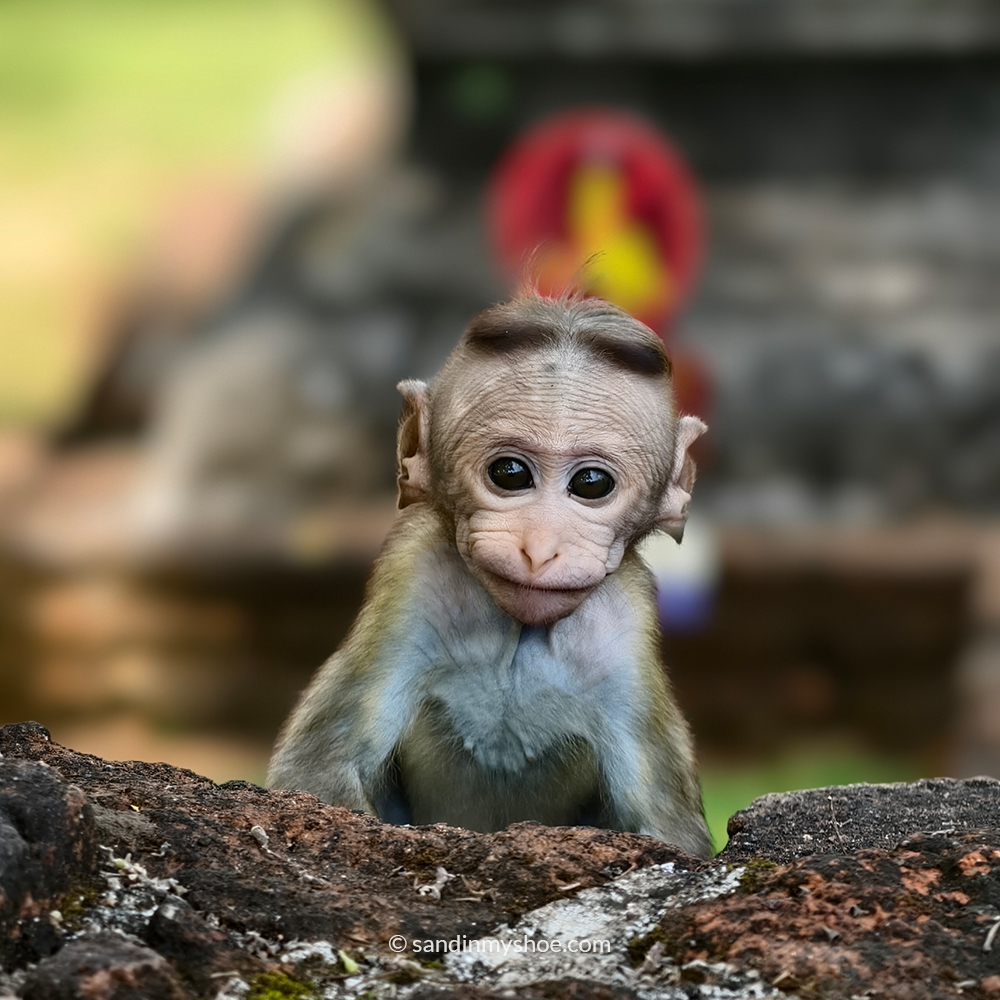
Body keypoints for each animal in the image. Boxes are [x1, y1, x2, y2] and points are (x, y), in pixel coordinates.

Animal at [267, 292, 711, 857]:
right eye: (510, 473)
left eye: (592, 483)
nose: (540, 548)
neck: (517, 633)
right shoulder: (414, 577)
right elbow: (321, 770)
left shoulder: (623, 623)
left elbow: (667, 826)